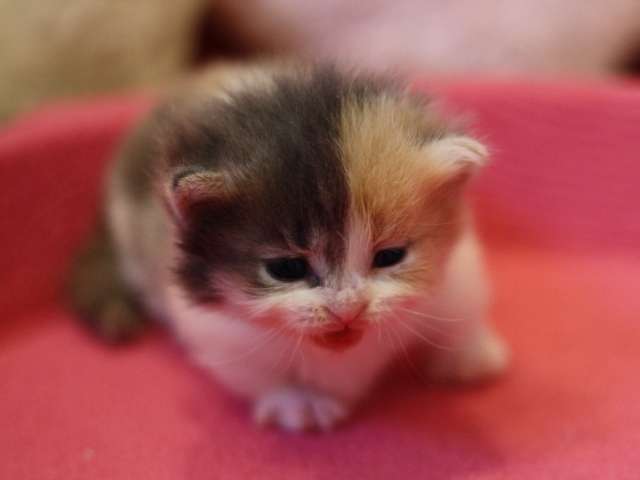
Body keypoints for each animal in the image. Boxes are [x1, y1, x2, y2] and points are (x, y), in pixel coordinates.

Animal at [69, 62, 510, 434]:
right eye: (286, 269)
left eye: (389, 257)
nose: (347, 309)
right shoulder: (217, 330)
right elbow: (257, 372)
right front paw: (300, 403)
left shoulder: (456, 272)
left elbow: (462, 307)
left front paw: (469, 358)